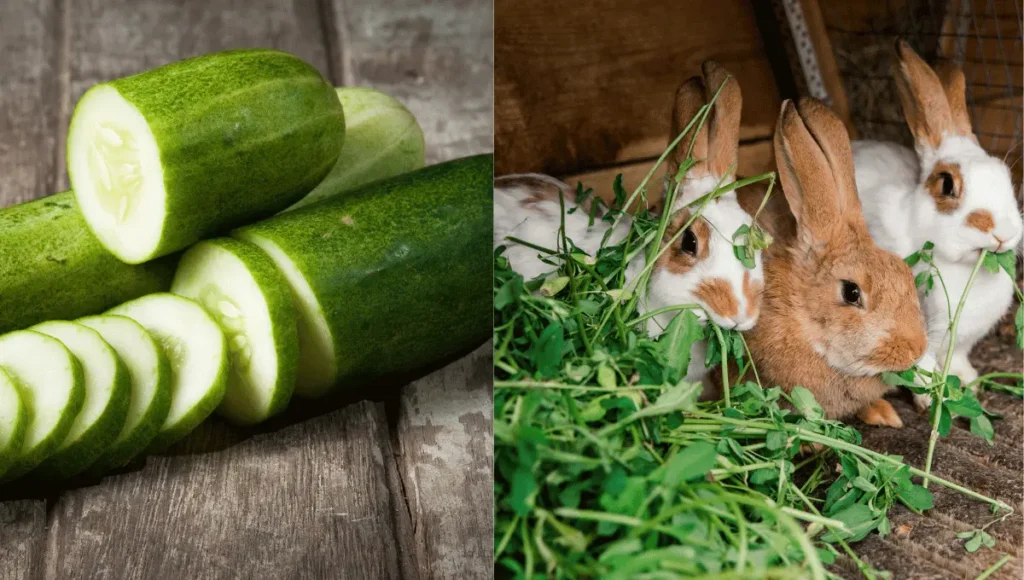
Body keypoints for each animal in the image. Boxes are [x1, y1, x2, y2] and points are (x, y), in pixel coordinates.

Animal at [851, 39, 1019, 409]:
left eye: (1006, 175)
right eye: (946, 184)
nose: (1004, 233)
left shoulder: (963, 341)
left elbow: (957, 359)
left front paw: (967, 382)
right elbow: (917, 365)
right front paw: (930, 398)